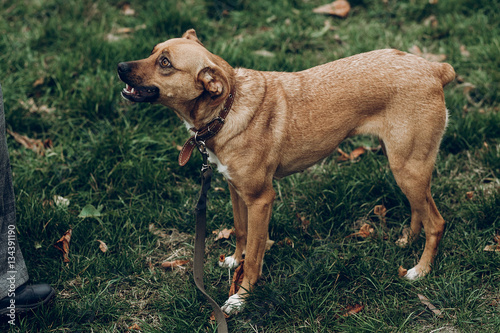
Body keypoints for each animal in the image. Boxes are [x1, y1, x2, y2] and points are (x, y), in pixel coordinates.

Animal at [119, 29, 456, 312]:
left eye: (165, 63)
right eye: (153, 51)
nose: (120, 66)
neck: (227, 108)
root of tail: (435, 69)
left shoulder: (261, 199)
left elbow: (255, 257)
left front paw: (240, 298)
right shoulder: (235, 189)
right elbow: (241, 232)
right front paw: (234, 260)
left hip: (407, 168)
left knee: (436, 222)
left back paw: (420, 270)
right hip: (402, 163)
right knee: (419, 210)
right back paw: (407, 241)